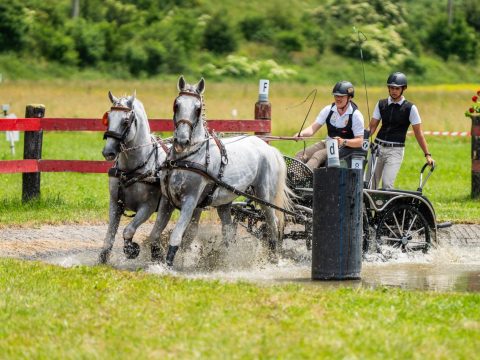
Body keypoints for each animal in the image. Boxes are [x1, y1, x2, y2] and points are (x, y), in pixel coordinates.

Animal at [150, 76, 292, 268]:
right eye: (176, 105)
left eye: (198, 108)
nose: (182, 140)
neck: (185, 159)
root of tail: (268, 148)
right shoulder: (167, 200)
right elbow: (155, 234)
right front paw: (156, 258)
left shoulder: (190, 201)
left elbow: (177, 235)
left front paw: (169, 264)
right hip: (225, 202)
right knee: (228, 231)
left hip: (265, 196)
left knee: (273, 224)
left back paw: (273, 258)